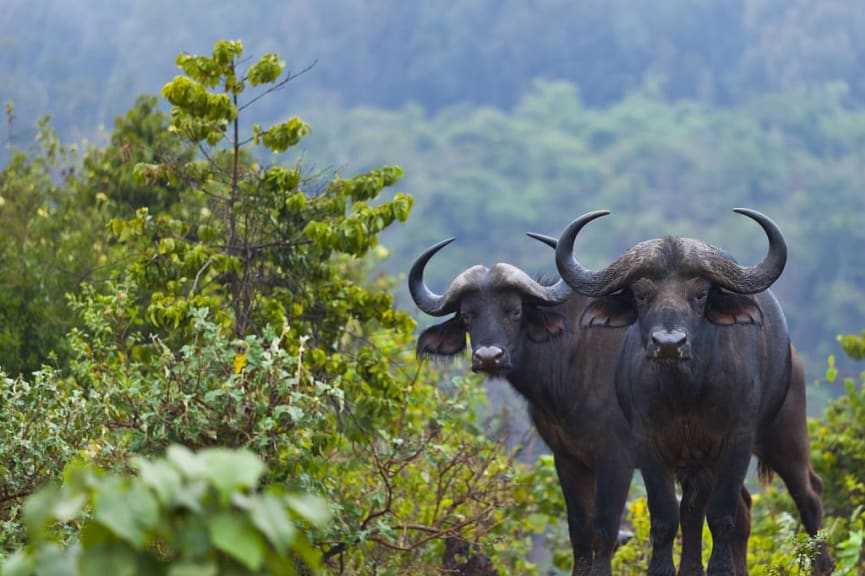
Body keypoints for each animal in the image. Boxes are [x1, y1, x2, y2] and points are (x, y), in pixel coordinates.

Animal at [408, 236, 752, 572]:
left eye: (514, 311)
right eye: (468, 315)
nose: (489, 357)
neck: (569, 358)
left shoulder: (616, 458)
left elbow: (605, 528)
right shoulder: (567, 458)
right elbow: (579, 531)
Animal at [552, 210, 832, 576]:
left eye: (699, 294)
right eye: (641, 295)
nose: (669, 343)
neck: (684, 392)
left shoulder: (737, 440)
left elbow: (722, 515)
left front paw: (722, 569)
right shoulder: (648, 444)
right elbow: (666, 518)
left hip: (785, 434)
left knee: (807, 493)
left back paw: (823, 563)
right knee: (699, 511)